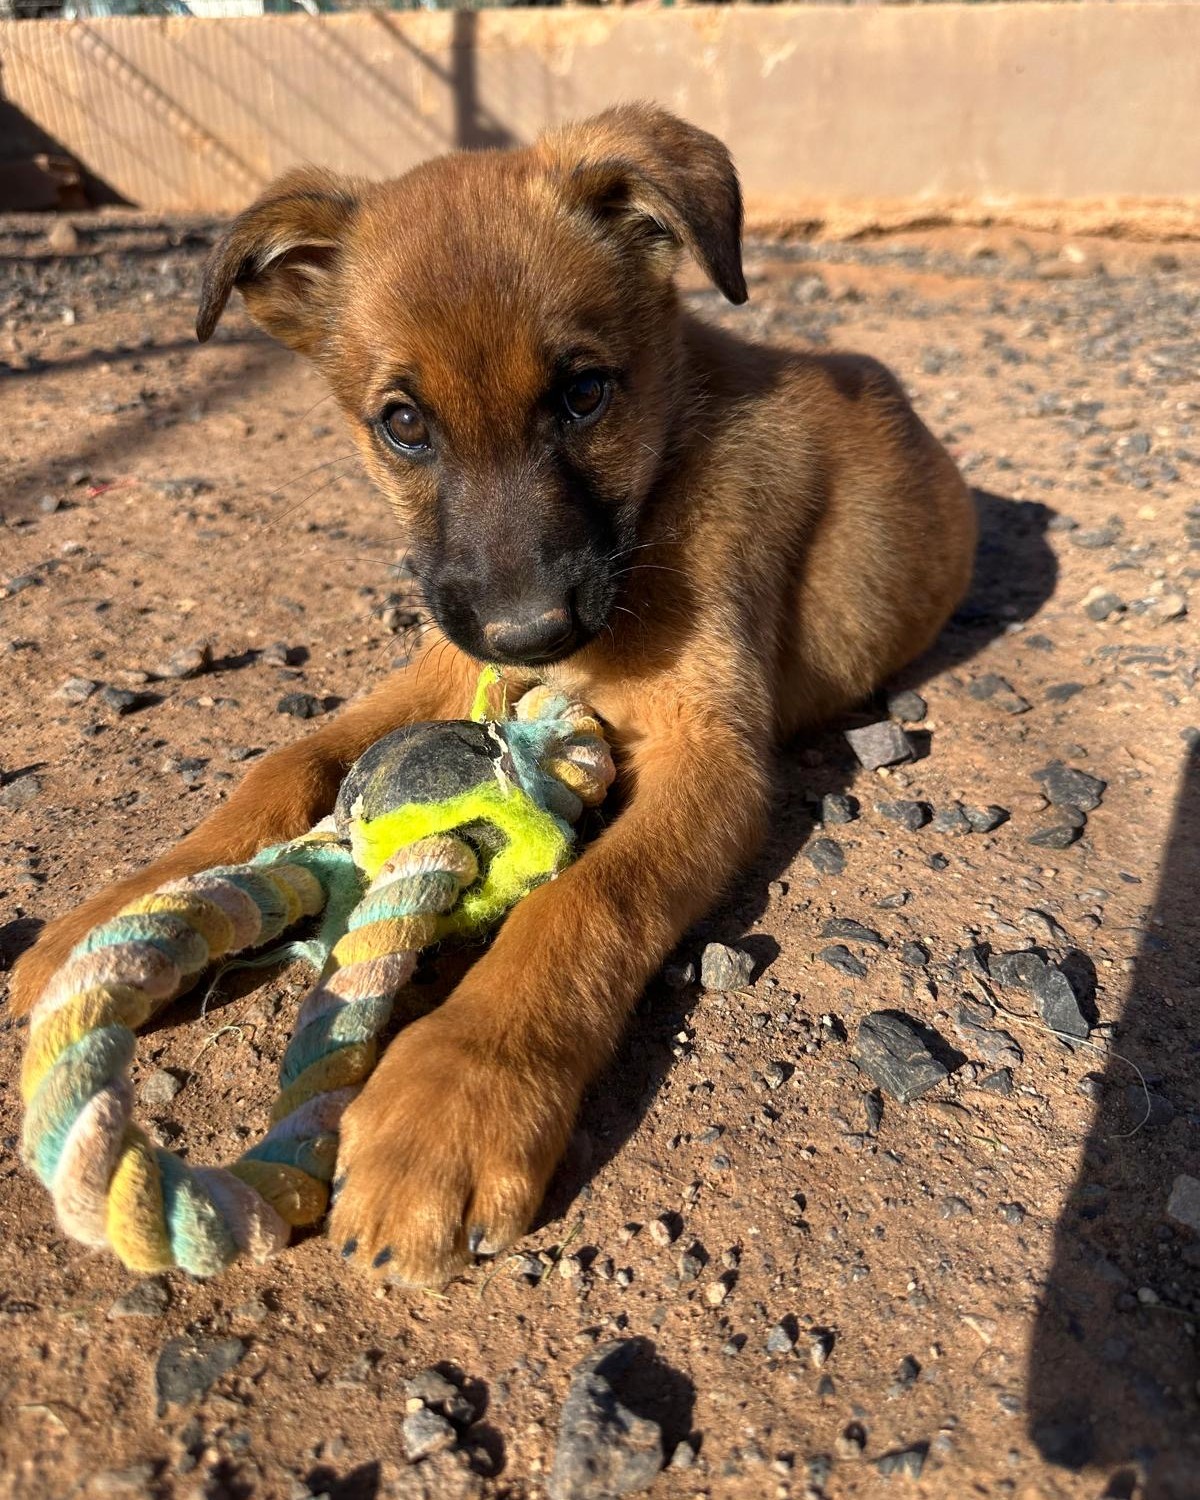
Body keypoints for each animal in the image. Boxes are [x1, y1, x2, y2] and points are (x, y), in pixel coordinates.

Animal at [11, 104, 977, 1284]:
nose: (534, 635)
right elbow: (286, 762)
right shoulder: (443, 665)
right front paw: (118, 916)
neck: (663, 474)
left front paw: (455, 1100)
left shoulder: (714, 756)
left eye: (584, 394)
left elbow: (585, 901)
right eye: (403, 424)